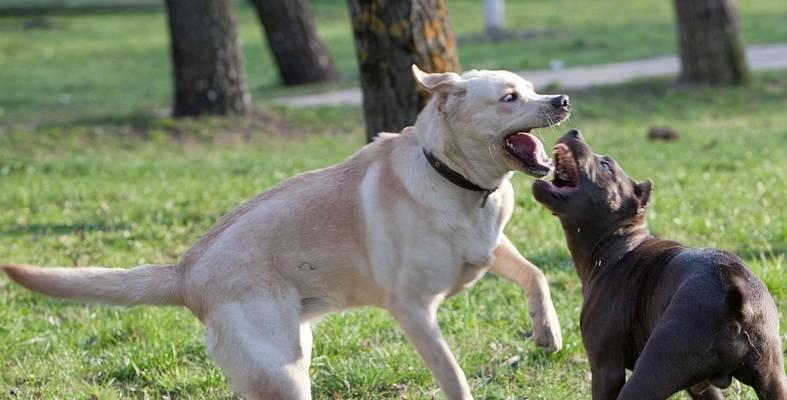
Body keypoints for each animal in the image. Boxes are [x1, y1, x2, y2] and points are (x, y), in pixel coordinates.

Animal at [4, 66, 572, 400]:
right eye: (509, 97)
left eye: (532, 88)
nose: (562, 100)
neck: (452, 177)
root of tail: (185, 270)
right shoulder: (413, 310)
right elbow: (452, 375)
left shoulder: (491, 247)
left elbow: (535, 274)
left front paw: (547, 329)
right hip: (282, 372)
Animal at [532, 130, 784, 398]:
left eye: (605, 164)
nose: (575, 132)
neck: (618, 240)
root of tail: (733, 295)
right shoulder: (702, 388)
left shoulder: (605, 370)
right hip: (772, 379)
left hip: (650, 374)